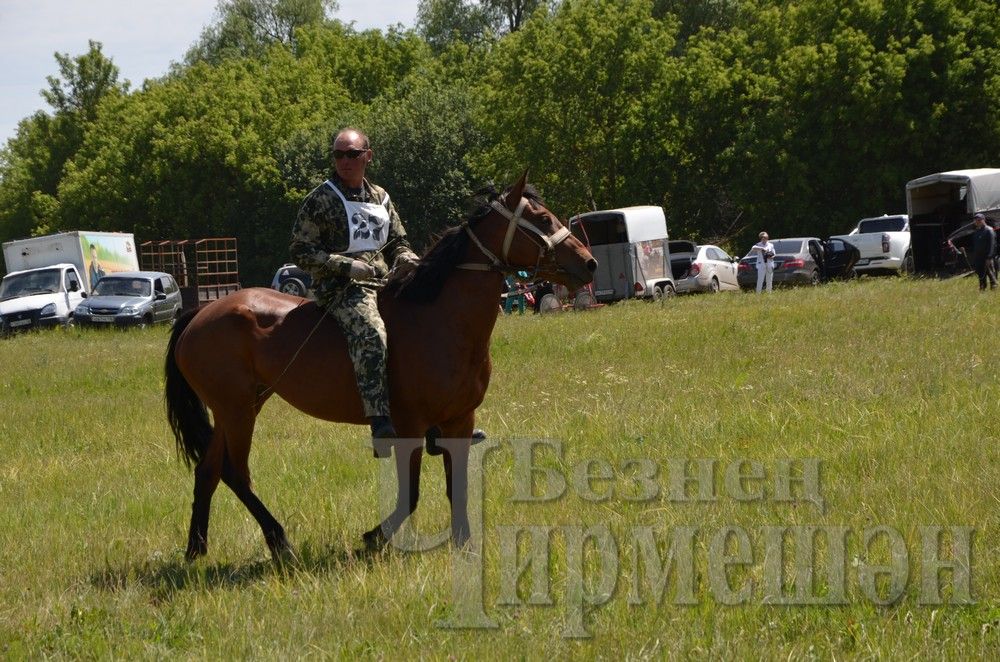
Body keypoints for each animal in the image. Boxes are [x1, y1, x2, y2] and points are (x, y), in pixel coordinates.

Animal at [163, 174, 592, 564]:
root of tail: (201, 313)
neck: (440, 319)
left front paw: (465, 546)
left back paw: (196, 549)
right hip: (237, 412)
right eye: (542, 218)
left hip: (241, 407)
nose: (589, 262)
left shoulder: (459, 421)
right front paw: (374, 537)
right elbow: (411, 494)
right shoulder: (410, 425)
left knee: (208, 471)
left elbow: (457, 487)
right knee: (236, 473)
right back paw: (278, 540)